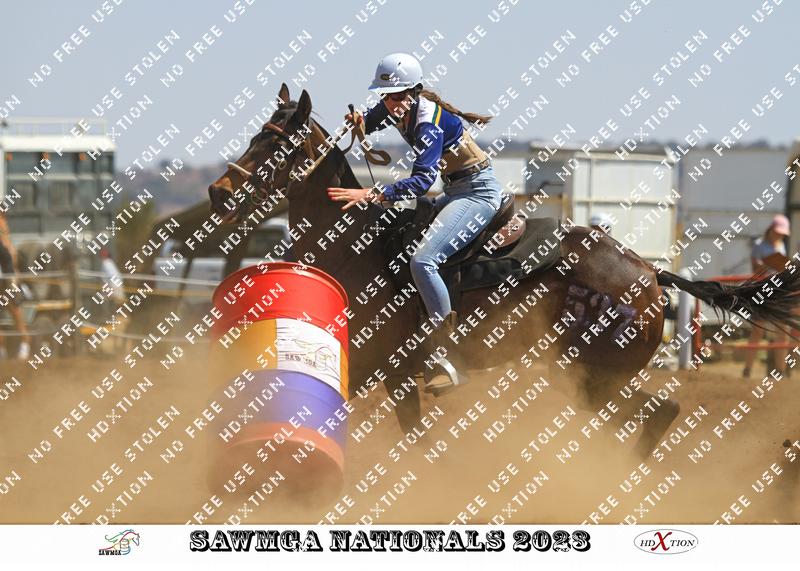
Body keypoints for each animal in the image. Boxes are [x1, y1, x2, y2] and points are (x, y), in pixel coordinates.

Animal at [208, 84, 800, 460]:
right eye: (254, 134)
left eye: (276, 142)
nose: (218, 192)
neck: (358, 250)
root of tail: (652, 275)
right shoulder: (379, 375)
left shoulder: (382, 368)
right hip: (586, 377)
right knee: (659, 412)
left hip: (599, 375)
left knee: (662, 410)